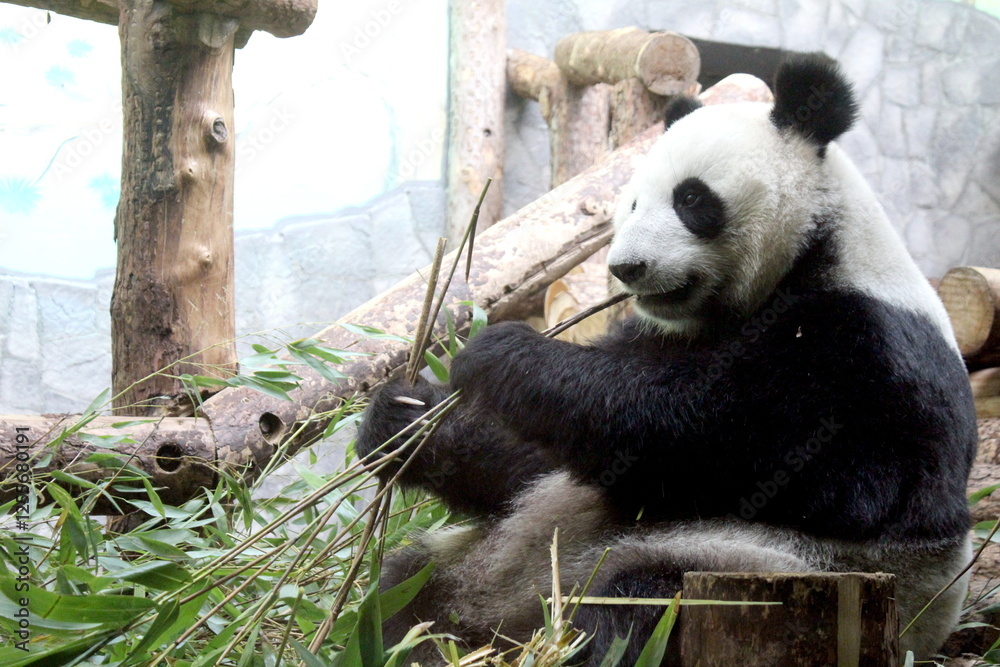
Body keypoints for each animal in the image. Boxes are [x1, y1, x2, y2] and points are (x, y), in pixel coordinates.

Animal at [356, 53, 977, 665]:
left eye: (692, 199)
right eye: (631, 202)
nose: (626, 268)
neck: (813, 250)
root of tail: (506, 623)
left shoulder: (866, 352)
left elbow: (738, 445)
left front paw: (498, 355)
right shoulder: (662, 333)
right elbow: (541, 461)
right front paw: (405, 420)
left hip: (751, 567)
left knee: (632, 611)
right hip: (469, 561)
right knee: (402, 592)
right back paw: (417, 639)